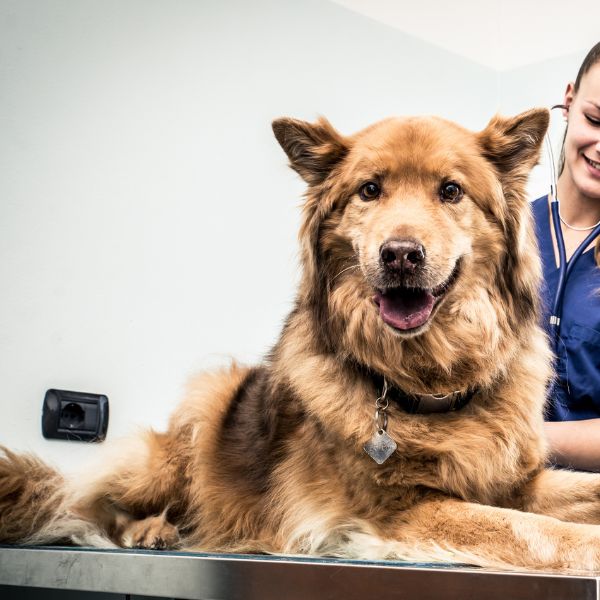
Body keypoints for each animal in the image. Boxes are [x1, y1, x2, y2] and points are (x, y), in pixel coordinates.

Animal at [3, 108, 600, 572]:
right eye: (370, 190)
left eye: (451, 191)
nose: (400, 255)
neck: (431, 382)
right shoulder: (399, 510)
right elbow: (530, 530)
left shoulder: (517, 483)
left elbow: (570, 497)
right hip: (188, 430)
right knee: (89, 505)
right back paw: (151, 530)